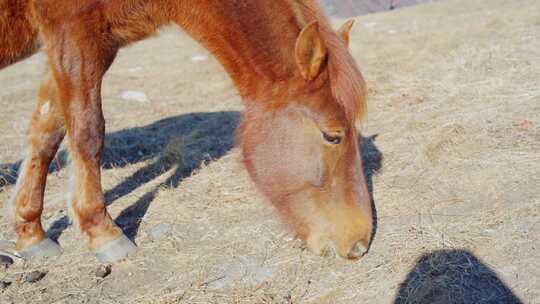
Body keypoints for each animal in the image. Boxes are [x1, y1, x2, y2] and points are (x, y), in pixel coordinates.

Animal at [1, 0, 372, 262]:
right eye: (332, 135)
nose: (359, 243)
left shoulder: (83, 46)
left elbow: (47, 133)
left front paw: (30, 233)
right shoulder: (73, 37)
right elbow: (88, 132)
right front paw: (103, 232)